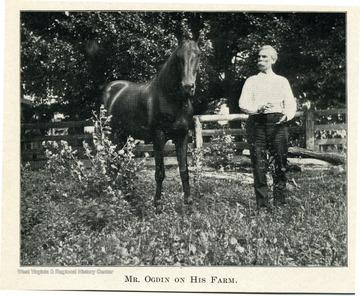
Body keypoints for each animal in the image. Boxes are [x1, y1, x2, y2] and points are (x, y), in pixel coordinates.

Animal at [102, 40, 201, 210]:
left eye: (198, 55)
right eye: (179, 57)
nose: (188, 87)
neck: (171, 99)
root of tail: (110, 89)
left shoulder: (182, 136)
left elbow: (184, 170)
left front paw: (188, 202)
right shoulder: (158, 137)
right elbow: (160, 171)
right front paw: (158, 204)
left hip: (122, 135)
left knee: (119, 162)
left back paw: (124, 194)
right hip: (110, 135)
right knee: (111, 163)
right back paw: (112, 194)